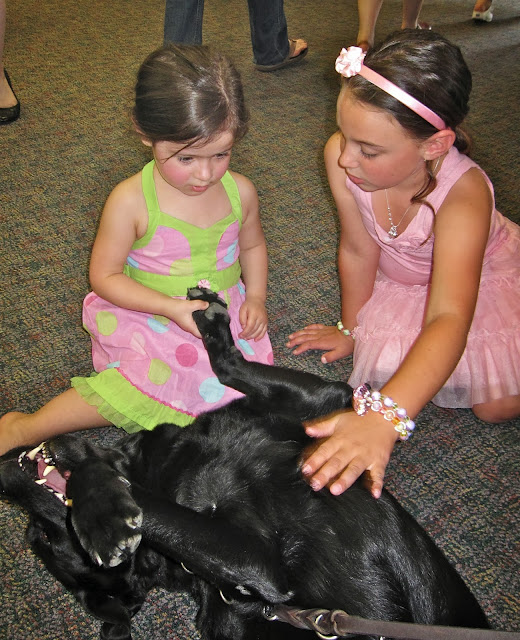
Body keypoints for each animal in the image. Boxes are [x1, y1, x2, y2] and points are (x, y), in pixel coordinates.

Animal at [0, 288, 489, 640]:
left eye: (39, 536)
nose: (4, 474)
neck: (173, 465)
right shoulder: (259, 563)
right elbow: (117, 488)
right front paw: (103, 514)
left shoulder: (330, 403)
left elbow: (230, 368)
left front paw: (212, 319)